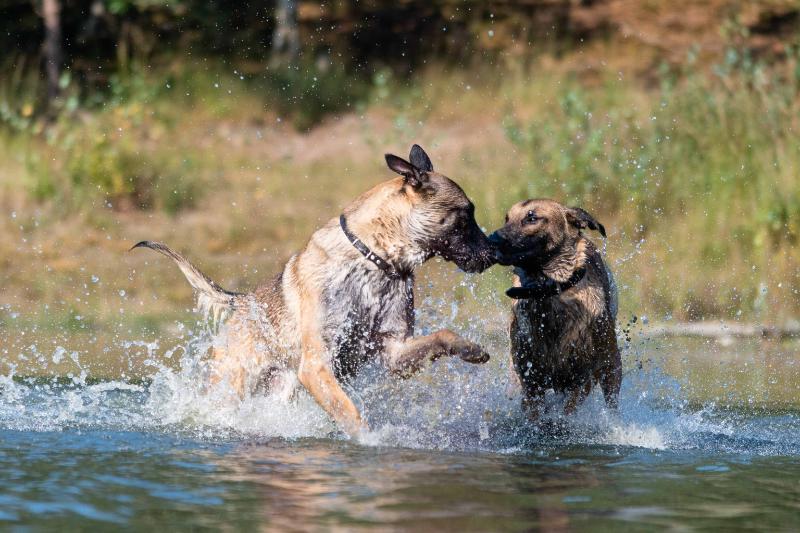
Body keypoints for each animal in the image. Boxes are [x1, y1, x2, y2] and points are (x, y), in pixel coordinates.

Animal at [131, 143, 494, 434]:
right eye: (465, 215)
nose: (494, 253)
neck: (374, 261)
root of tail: (243, 301)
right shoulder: (317, 364)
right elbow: (350, 413)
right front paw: (369, 440)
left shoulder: (395, 350)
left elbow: (442, 336)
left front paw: (470, 349)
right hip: (234, 384)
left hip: (281, 390)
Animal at [488, 198, 620, 416]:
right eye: (507, 219)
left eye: (532, 218)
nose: (491, 240)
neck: (546, 291)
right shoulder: (531, 381)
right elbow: (534, 412)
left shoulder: (582, 379)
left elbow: (567, 411)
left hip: (611, 365)